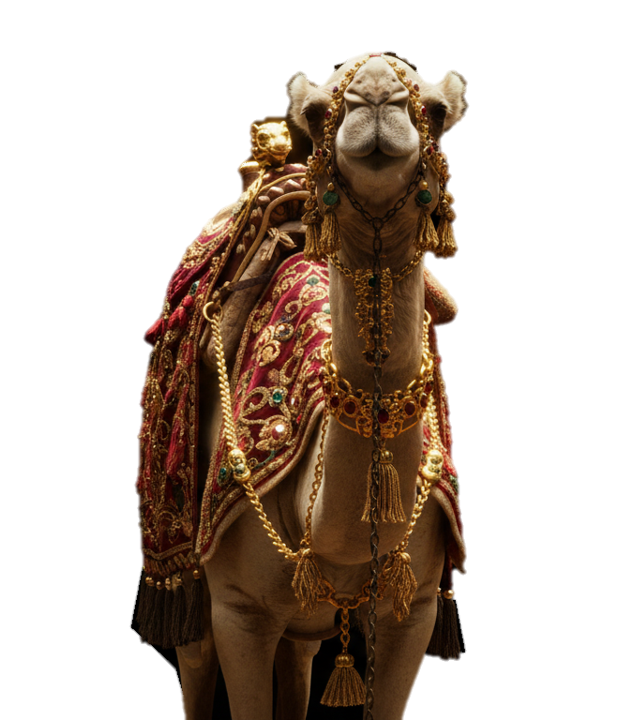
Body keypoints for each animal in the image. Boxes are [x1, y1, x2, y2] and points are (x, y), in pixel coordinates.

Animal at [169, 51, 468, 720]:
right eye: (315, 109)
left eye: (437, 109)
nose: (376, 94)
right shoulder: (239, 610)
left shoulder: (413, 606)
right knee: (193, 662)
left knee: (301, 659)